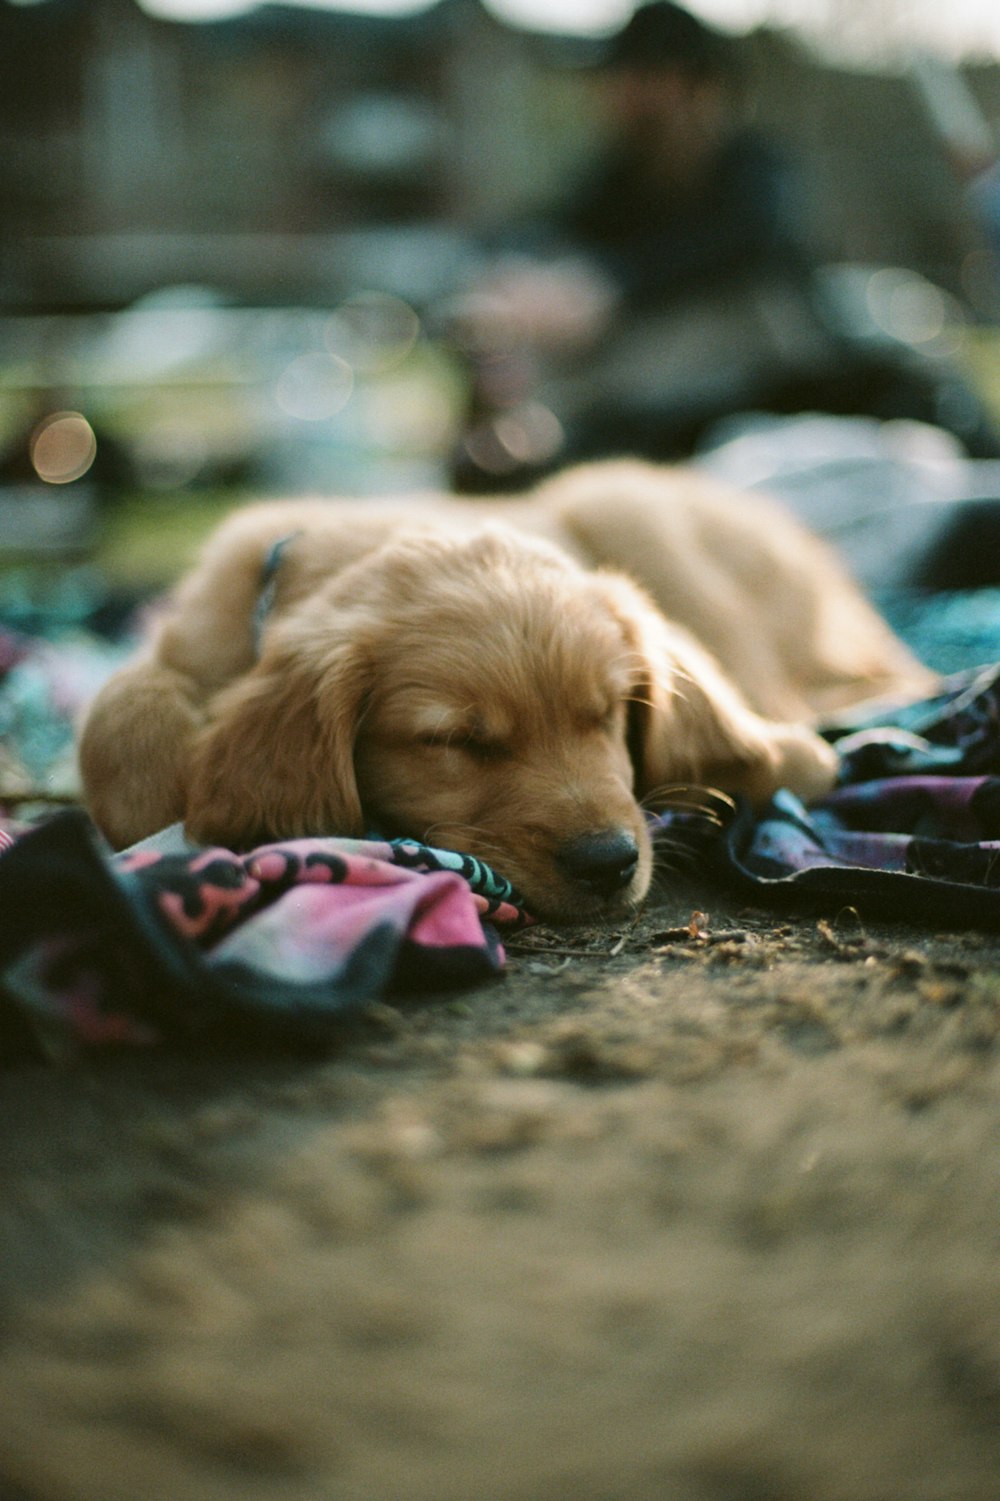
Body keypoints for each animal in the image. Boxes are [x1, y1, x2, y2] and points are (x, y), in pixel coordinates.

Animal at [78, 459, 924, 924]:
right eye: (455, 740)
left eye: (608, 713)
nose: (608, 863)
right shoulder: (192, 634)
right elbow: (116, 714)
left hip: (630, 508)